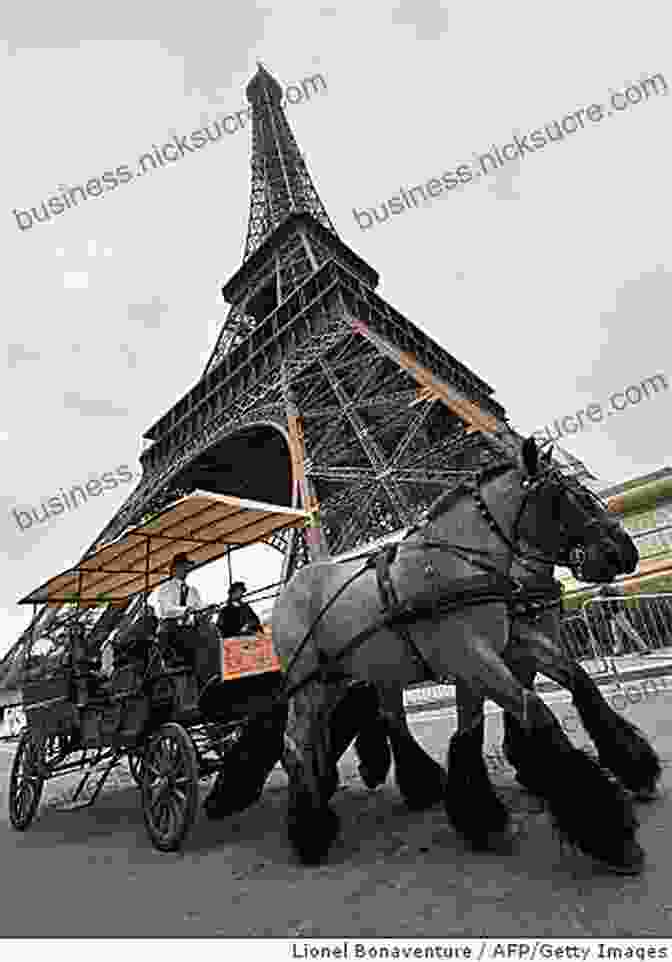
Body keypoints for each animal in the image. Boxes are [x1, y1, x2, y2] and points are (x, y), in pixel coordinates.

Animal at [272, 438, 644, 872]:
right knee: (294, 742)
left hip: (341, 678)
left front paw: (480, 814)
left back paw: (336, 793)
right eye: (569, 495)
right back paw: (311, 830)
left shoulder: (496, 650)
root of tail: (288, 589)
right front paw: (608, 831)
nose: (625, 552)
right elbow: (535, 710)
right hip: (309, 683)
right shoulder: (472, 657)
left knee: (331, 732)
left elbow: (490, 721)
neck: (462, 561)